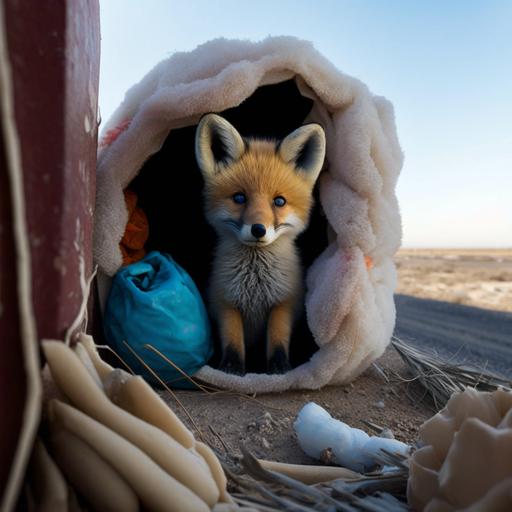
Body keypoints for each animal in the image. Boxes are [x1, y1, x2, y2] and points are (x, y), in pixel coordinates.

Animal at [194, 114, 326, 374]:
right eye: (239, 198)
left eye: (279, 201)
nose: (258, 229)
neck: (255, 286)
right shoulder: (224, 302)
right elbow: (233, 338)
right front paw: (231, 368)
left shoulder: (285, 302)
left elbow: (277, 337)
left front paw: (280, 368)